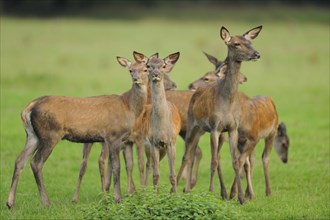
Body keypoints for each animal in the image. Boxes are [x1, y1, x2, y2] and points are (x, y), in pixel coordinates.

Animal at [6, 50, 151, 209]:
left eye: (146, 69)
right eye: (131, 70)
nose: (136, 79)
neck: (129, 107)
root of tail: (28, 108)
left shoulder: (114, 139)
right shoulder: (113, 136)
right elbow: (116, 167)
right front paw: (118, 199)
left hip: (32, 135)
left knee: (20, 160)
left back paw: (10, 203)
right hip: (50, 134)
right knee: (36, 162)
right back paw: (46, 202)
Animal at [178, 25, 262, 205]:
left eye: (250, 42)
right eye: (236, 44)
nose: (257, 54)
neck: (227, 102)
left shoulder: (232, 128)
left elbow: (236, 161)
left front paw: (240, 198)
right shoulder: (215, 127)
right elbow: (214, 161)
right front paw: (212, 192)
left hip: (200, 130)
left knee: (193, 153)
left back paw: (187, 189)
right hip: (192, 125)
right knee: (186, 155)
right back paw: (174, 189)